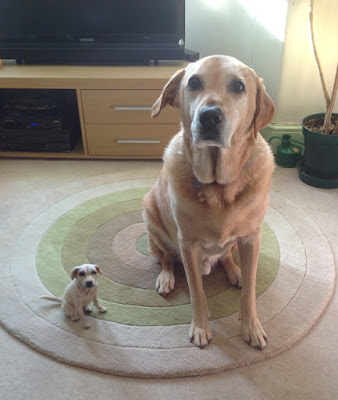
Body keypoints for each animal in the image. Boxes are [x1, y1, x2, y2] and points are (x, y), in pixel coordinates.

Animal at [143, 54, 274, 348]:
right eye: (193, 82)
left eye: (238, 87)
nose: (210, 116)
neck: (218, 186)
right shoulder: (188, 245)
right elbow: (197, 293)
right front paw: (201, 327)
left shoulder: (252, 238)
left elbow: (250, 292)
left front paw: (251, 326)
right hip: (151, 218)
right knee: (166, 258)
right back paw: (166, 277)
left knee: (226, 256)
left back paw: (235, 271)